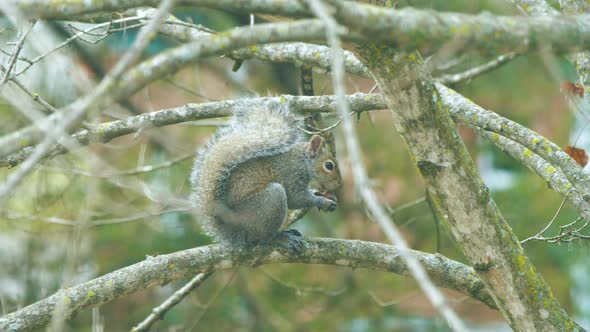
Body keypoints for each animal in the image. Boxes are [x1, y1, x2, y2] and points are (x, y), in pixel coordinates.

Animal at [192, 105, 342, 250]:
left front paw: (321, 194)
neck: (301, 160)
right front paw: (322, 201)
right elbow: (296, 199)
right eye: (329, 165)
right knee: (261, 238)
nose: (339, 185)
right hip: (270, 201)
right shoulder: (290, 174)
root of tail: (234, 231)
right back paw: (280, 239)